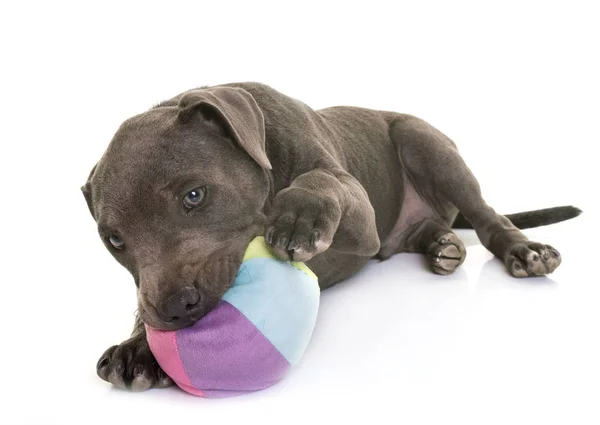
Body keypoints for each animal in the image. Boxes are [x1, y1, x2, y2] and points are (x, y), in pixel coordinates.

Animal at [82, 83, 580, 390]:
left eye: (194, 195)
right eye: (115, 240)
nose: (172, 308)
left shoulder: (359, 215)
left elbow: (322, 181)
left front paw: (300, 214)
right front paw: (137, 346)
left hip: (426, 144)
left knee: (487, 216)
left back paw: (523, 249)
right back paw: (443, 246)